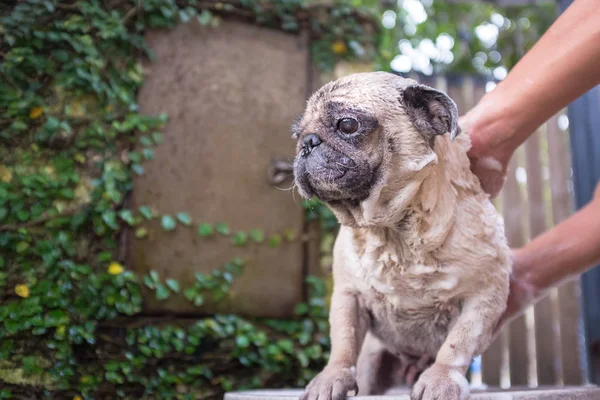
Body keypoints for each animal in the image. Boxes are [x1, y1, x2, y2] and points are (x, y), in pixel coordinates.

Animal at [292, 72, 508, 400]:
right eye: (296, 135)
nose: (307, 142)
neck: (392, 229)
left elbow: (458, 342)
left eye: (348, 125)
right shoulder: (347, 296)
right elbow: (343, 342)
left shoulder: (483, 297)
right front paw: (330, 378)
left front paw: (441, 379)